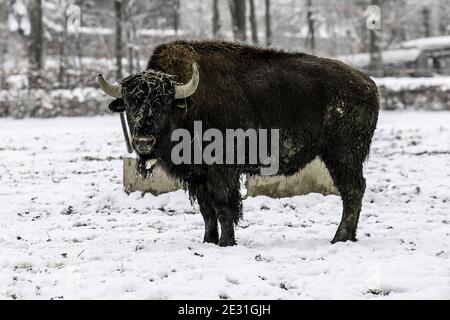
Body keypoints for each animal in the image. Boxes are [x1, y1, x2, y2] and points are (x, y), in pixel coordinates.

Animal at [98, 40, 380, 248]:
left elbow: (224, 206)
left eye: (162, 103)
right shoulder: (197, 176)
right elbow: (207, 210)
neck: (188, 104)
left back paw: (339, 238)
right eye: (130, 104)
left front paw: (226, 242)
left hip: (343, 155)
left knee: (353, 190)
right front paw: (208, 241)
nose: (143, 142)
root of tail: (369, 84)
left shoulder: (222, 170)